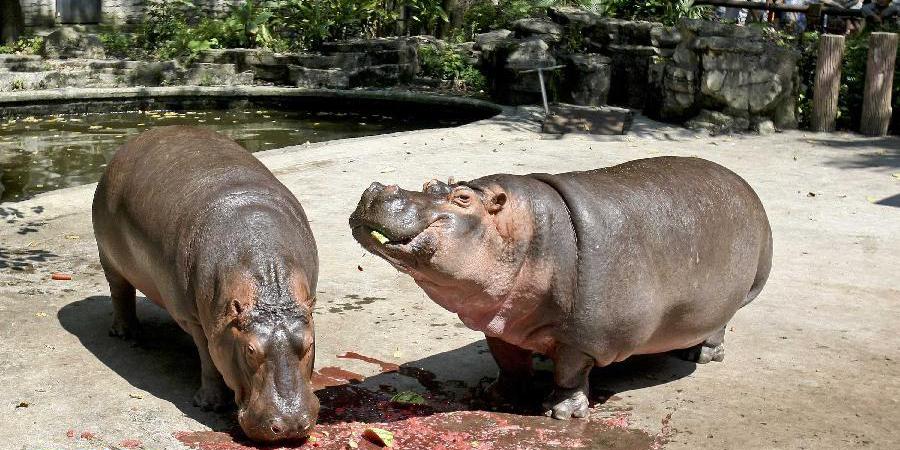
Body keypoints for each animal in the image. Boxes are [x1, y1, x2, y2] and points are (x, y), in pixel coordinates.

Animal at [94, 125, 320, 440]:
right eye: (250, 350)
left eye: (309, 344)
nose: (289, 426)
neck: (270, 294)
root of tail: (135, 140)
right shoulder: (196, 321)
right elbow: (209, 359)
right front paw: (208, 404)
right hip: (108, 258)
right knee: (120, 292)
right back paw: (127, 333)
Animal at [348, 156, 768, 420]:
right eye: (430, 184)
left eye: (463, 198)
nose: (376, 188)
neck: (526, 232)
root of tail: (745, 186)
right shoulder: (501, 323)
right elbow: (508, 362)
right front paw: (494, 395)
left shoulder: (582, 337)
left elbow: (568, 372)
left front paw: (559, 412)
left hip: (731, 298)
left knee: (719, 325)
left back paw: (702, 355)